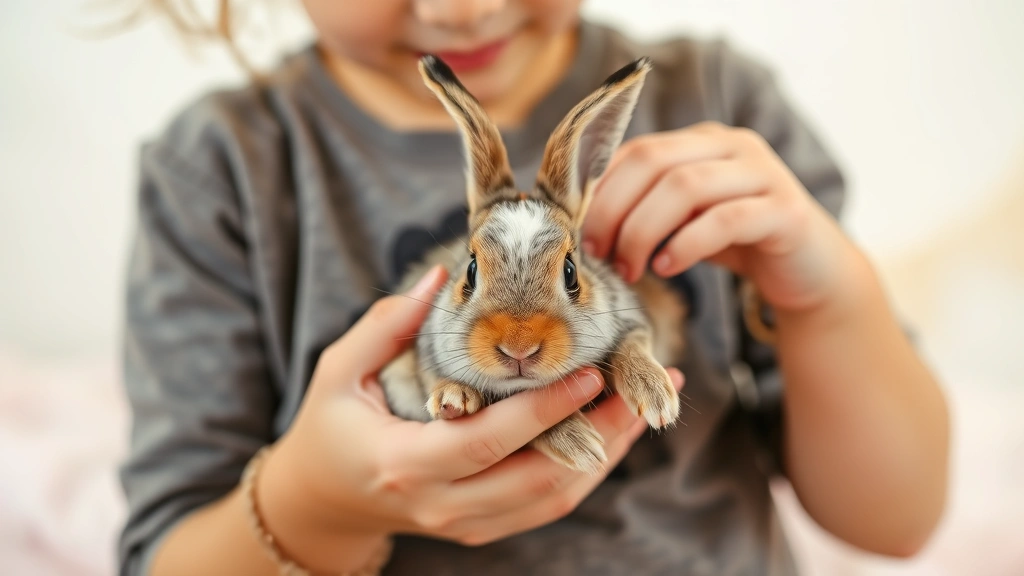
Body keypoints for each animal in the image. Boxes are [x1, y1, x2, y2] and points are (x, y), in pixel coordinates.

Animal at [379, 55, 688, 475]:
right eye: (470, 271)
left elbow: (633, 344)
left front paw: (656, 396)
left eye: (571, 273)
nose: (519, 349)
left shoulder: (634, 318)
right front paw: (582, 446)